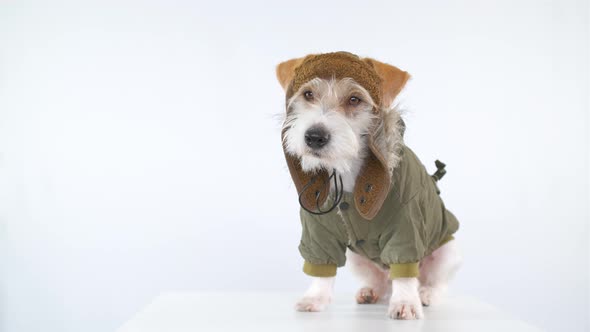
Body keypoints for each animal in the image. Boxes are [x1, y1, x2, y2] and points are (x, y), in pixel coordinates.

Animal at [276, 52, 462, 320]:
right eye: (308, 94)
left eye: (354, 99)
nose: (314, 137)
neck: (347, 170)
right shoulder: (317, 228)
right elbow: (322, 267)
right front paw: (315, 298)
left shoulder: (406, 226)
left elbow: (405, 270)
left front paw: (405, 303)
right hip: (358, 259)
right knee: (383, 282)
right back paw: (370, 292)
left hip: (448, 251)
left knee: (431, 281)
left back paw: (425, 294)